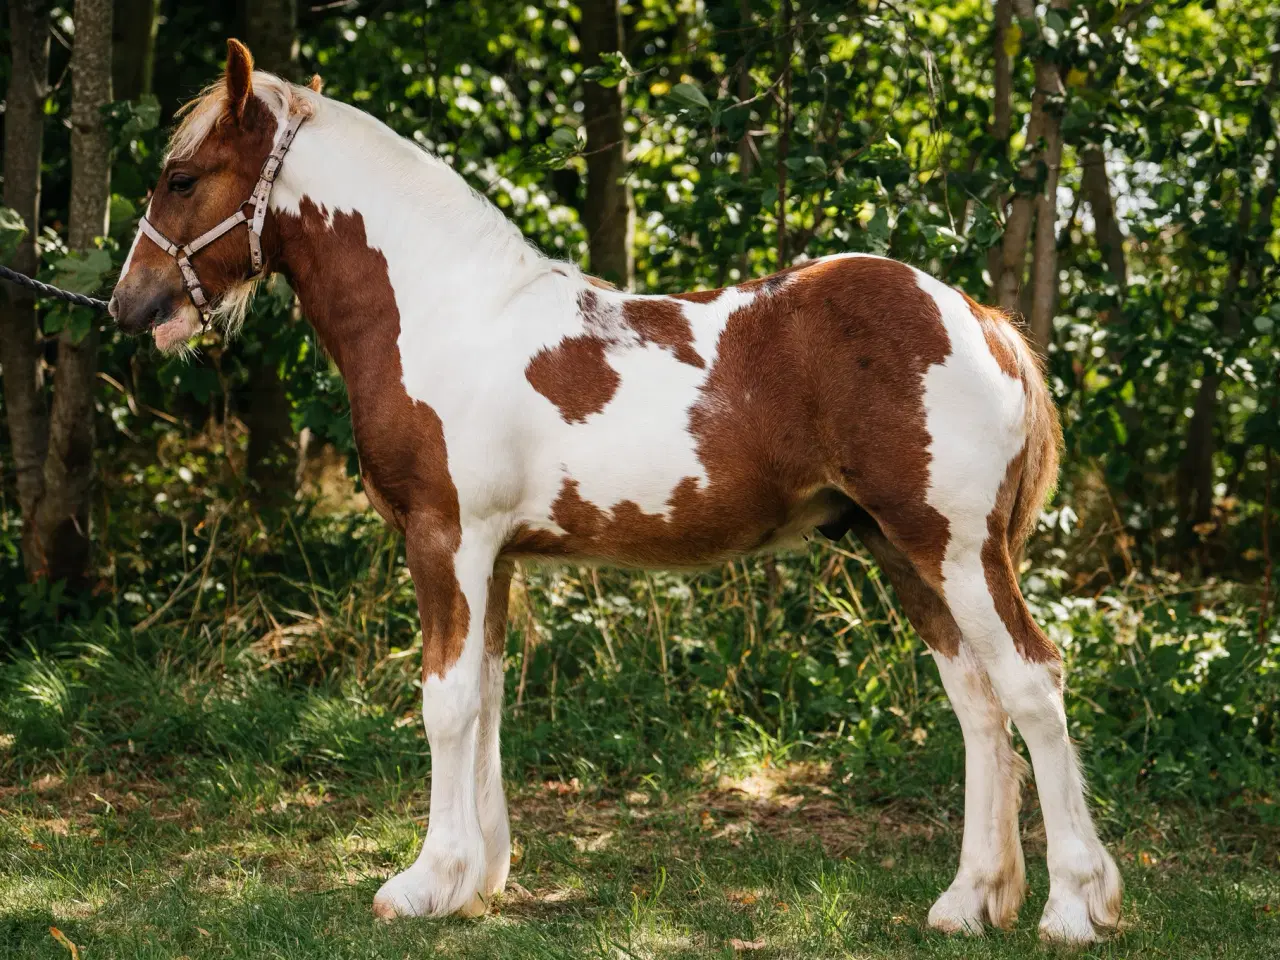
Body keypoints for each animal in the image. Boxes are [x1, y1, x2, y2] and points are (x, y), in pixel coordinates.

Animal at [110, 39, 1121, 947]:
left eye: (182, 178)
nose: (129, 306)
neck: (445, 314)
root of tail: (979, 318)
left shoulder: (445, 540)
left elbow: (446, 702)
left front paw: (424, 883)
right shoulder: (494, 558)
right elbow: (488, 696)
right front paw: (479, 880)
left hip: (957, 549)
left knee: (1034, 684)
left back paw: (1073, 908)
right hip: (903, 552)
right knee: (979, 704)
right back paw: (969, 902)